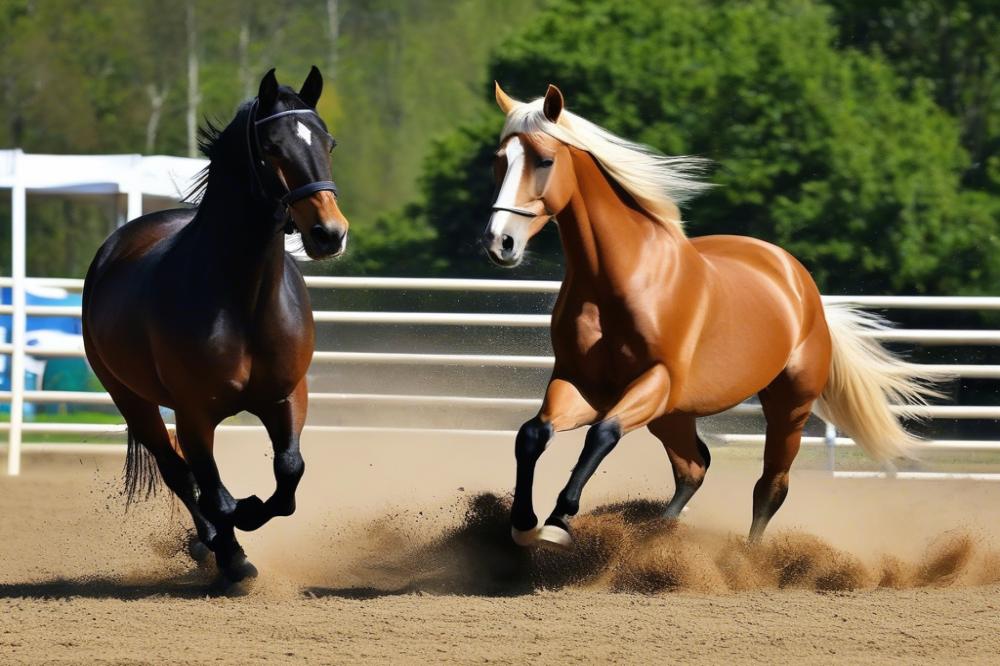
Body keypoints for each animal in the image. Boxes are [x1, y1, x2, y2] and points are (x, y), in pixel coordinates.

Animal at [78, 65, 346, 580]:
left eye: (329, 142)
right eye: (272, 148)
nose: (329, 233)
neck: (245, 303)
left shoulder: (287, 397)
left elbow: (288, 477)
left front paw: (251, 512)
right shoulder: (194, 413)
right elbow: (215, 494)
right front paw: (233, 549)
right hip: (132, 401)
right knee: (178, 472)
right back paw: (215, 546)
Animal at [484, 83, 944, 548]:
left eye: (545, 160)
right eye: (499, 160)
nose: (499, 242)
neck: (620, 279)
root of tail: (803, 286)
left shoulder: (655, 382)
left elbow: (603, 434)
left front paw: (559, 520)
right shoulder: (582, 383)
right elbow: (532, 433)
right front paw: (524, 521)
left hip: (786, 408)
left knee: (770, 485)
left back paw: (747, 554)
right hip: (673, 416)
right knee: (694, 467)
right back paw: (657, 536)